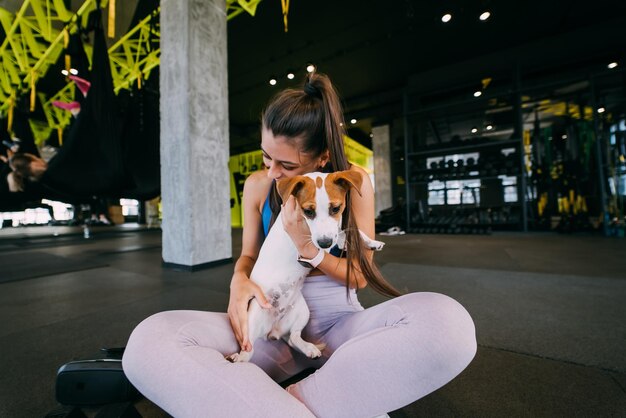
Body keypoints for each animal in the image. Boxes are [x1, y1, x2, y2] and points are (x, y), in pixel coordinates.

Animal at [224, 170, 380, 362]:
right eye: (308, 211)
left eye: (335, 208)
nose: (325, 243)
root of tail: (273, 329)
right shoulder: (311, 241)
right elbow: (342, 232)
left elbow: (347, 230)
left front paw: (371, 242)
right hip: (253, 318)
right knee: (249, 349)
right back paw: (239, 358)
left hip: (302, 312)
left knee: (293, 337)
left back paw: (308, 348)